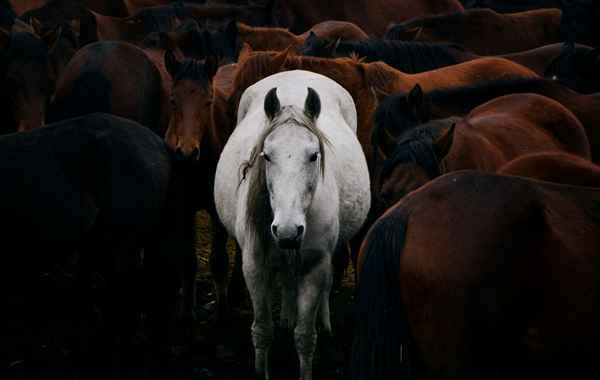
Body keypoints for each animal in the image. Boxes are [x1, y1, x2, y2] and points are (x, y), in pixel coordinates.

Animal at [213, 70, 368, 378]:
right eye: (266, 155)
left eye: (314, 155)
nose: (287, 231)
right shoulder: (254, 265)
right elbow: (262, 331)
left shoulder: (314, 267)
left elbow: (305, 336)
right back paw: (286, 315)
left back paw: (324, 321)